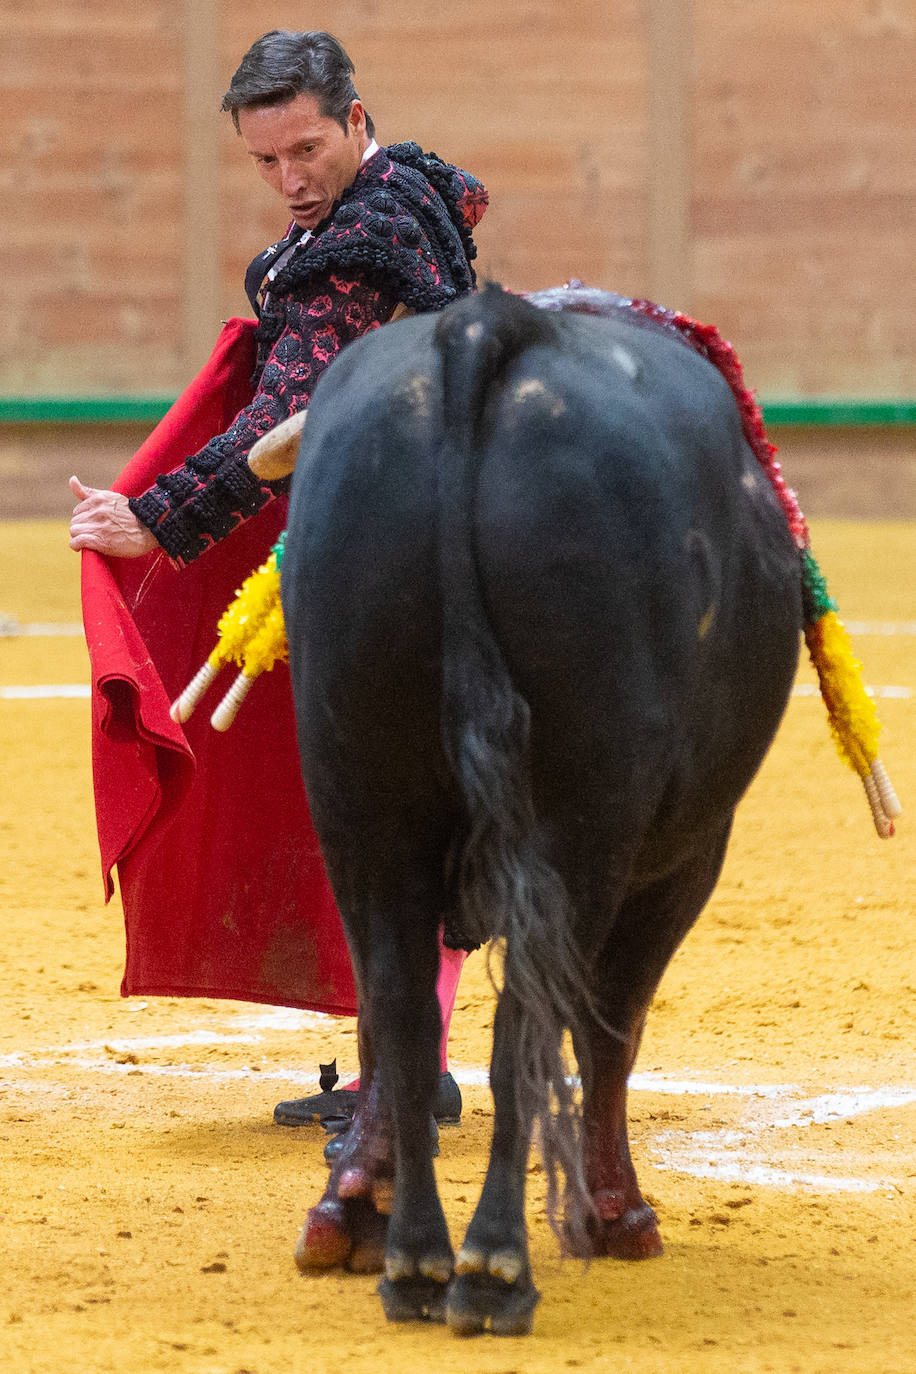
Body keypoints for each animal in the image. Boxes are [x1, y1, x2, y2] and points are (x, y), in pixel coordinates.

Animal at [281, 284, 802, 1335]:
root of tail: (488, 324)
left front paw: (359, 1196)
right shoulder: (685, 858)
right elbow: (612, 1027)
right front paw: (619, 1213)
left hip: (357, 803)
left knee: (398, 1005)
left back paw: (402, 1252)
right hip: (582, 825)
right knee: (528, 1024)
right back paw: (493, 1266)